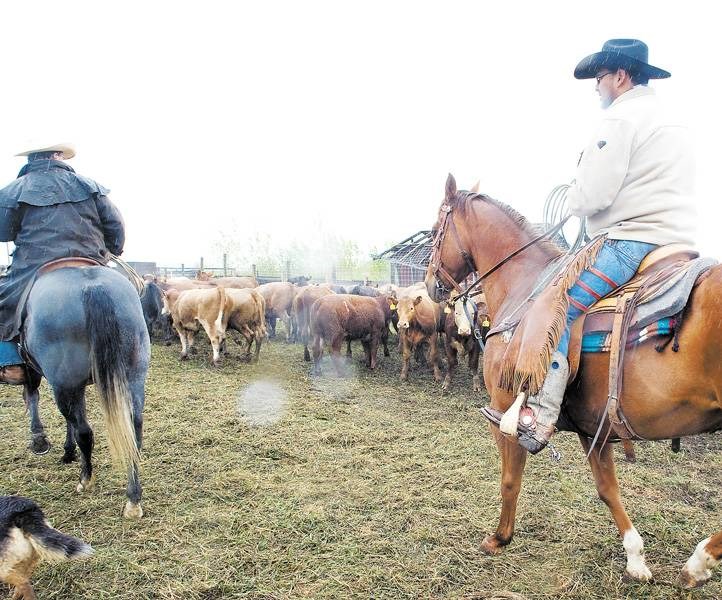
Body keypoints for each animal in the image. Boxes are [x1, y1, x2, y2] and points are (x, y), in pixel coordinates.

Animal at [22, 268, 149, 520]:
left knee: (84, 430)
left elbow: (34, 399)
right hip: (134, 375)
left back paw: (85, 479)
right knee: (133, 431)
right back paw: (133, 498)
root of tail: (93, 285)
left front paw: (41, 440)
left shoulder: (42, 376)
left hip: (65, 383)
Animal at [424, 173, 720, 584]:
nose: (429, 282)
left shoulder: (503, 412)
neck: (524, 288)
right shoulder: (594, 426)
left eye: (436, 229)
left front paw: (499, 538)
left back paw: (699, 560)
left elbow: (510, 479)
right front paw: (635, 558)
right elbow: (607, 488)